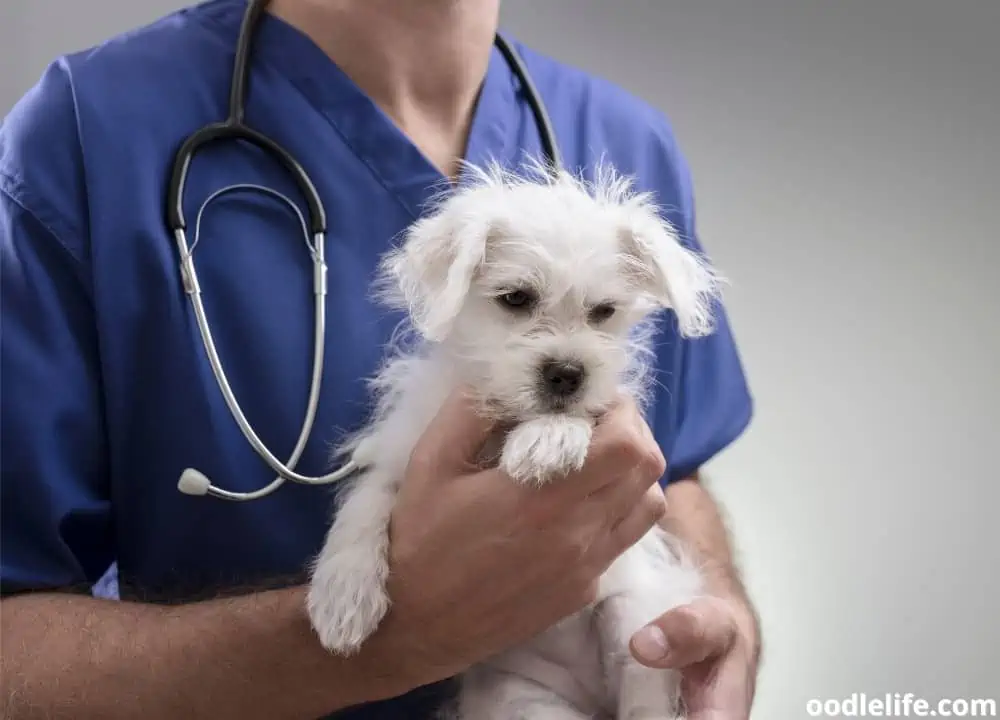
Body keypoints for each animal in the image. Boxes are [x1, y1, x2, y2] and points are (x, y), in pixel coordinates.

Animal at [308, 160, 724, 716]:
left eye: (604, 312)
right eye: (516, 299)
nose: (567, 373)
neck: (505, 418)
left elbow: (579, 417)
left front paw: (548, 439)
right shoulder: (403, 456)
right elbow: (365, 503)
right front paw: (342, 596)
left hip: (636, 624)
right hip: (523, 700)